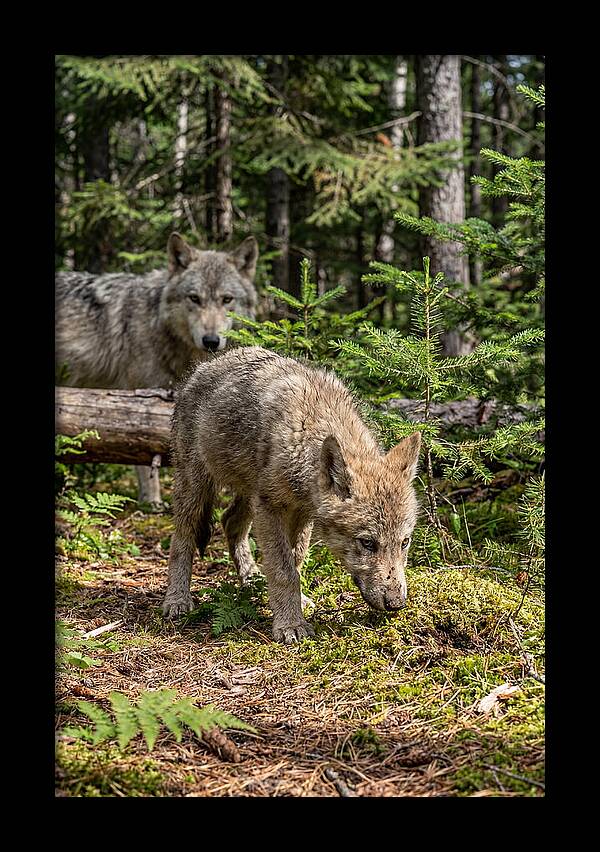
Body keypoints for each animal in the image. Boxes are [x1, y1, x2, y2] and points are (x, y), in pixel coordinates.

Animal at [55, 233, 259, 506]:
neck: (158, 325)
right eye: (194, 298)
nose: (211, 341)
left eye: (227, 299)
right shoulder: (140, 399)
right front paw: (152, 502)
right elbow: (144, 459)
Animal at [162, 346, 422, 643]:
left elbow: (295, 561)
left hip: (249, 495)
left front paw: (294, 604)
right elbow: (284, 570)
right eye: (367, 543)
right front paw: (290, 625)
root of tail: (202, 367)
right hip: (197, 488)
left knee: (230, 522)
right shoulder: (271, 508)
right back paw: (177, 599)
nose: (396, 603)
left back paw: (252, 580)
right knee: (182, 538)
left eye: (405, 542)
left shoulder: (302, 513)